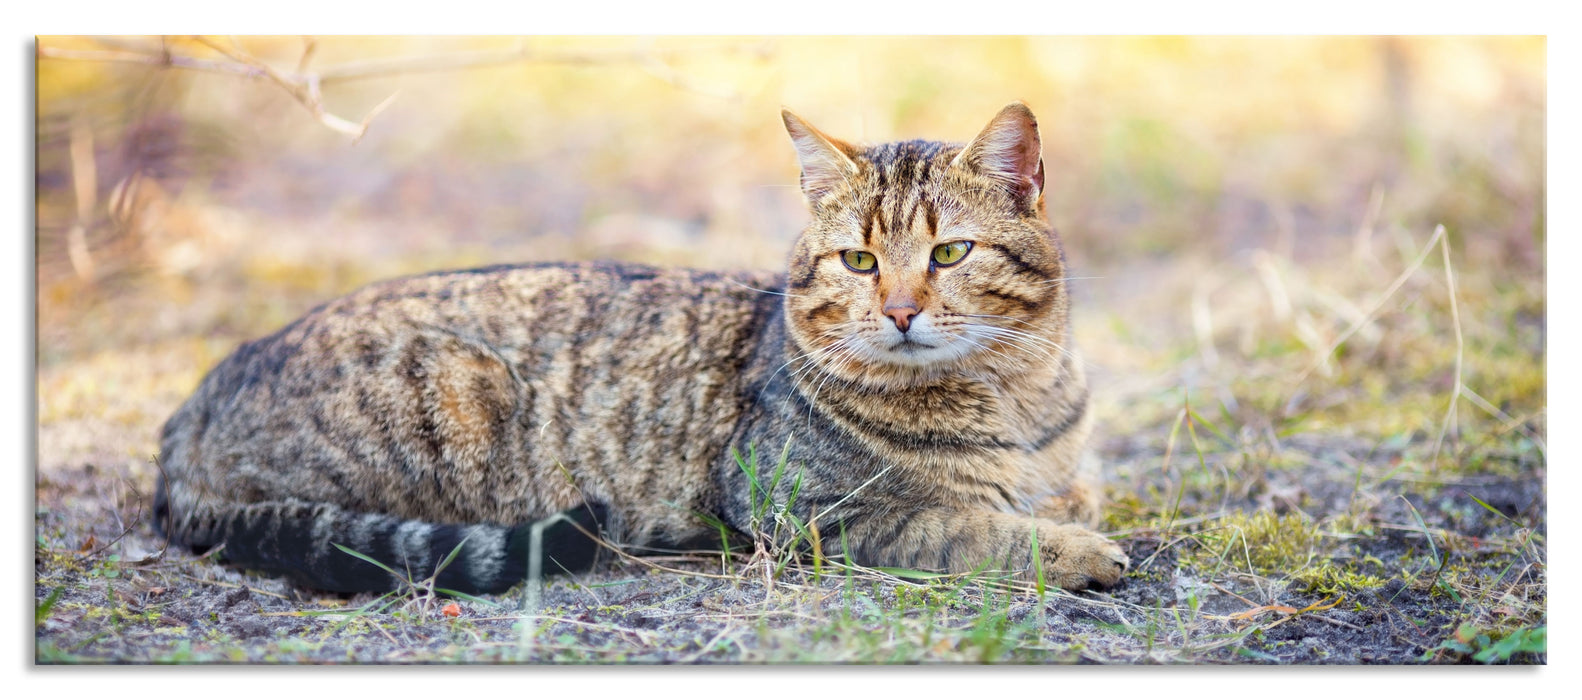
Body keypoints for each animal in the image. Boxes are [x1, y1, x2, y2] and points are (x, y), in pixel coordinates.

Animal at [154, 103, 1132, 592]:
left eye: (949, 253)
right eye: (859, 261)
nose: (896, 311)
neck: (1012, 396)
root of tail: (191, 405)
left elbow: (1066, 493)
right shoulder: (808, 508)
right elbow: (964, 524)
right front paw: (1074, 552)